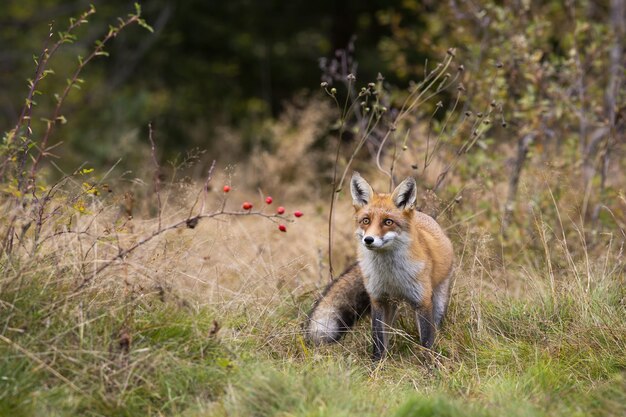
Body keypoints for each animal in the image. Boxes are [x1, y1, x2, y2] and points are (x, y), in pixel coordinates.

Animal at [304, 171, 450, 360]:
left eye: (388, 222)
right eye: (366, 221)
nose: (368, 240)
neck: (391, 274)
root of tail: (423, 215)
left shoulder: (422, 301)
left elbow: (426, 341)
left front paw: (430, 365)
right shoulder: (378, 299)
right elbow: (379, 341)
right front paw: (377, 365)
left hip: (438, 297)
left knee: (435, 324)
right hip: (391, 304)